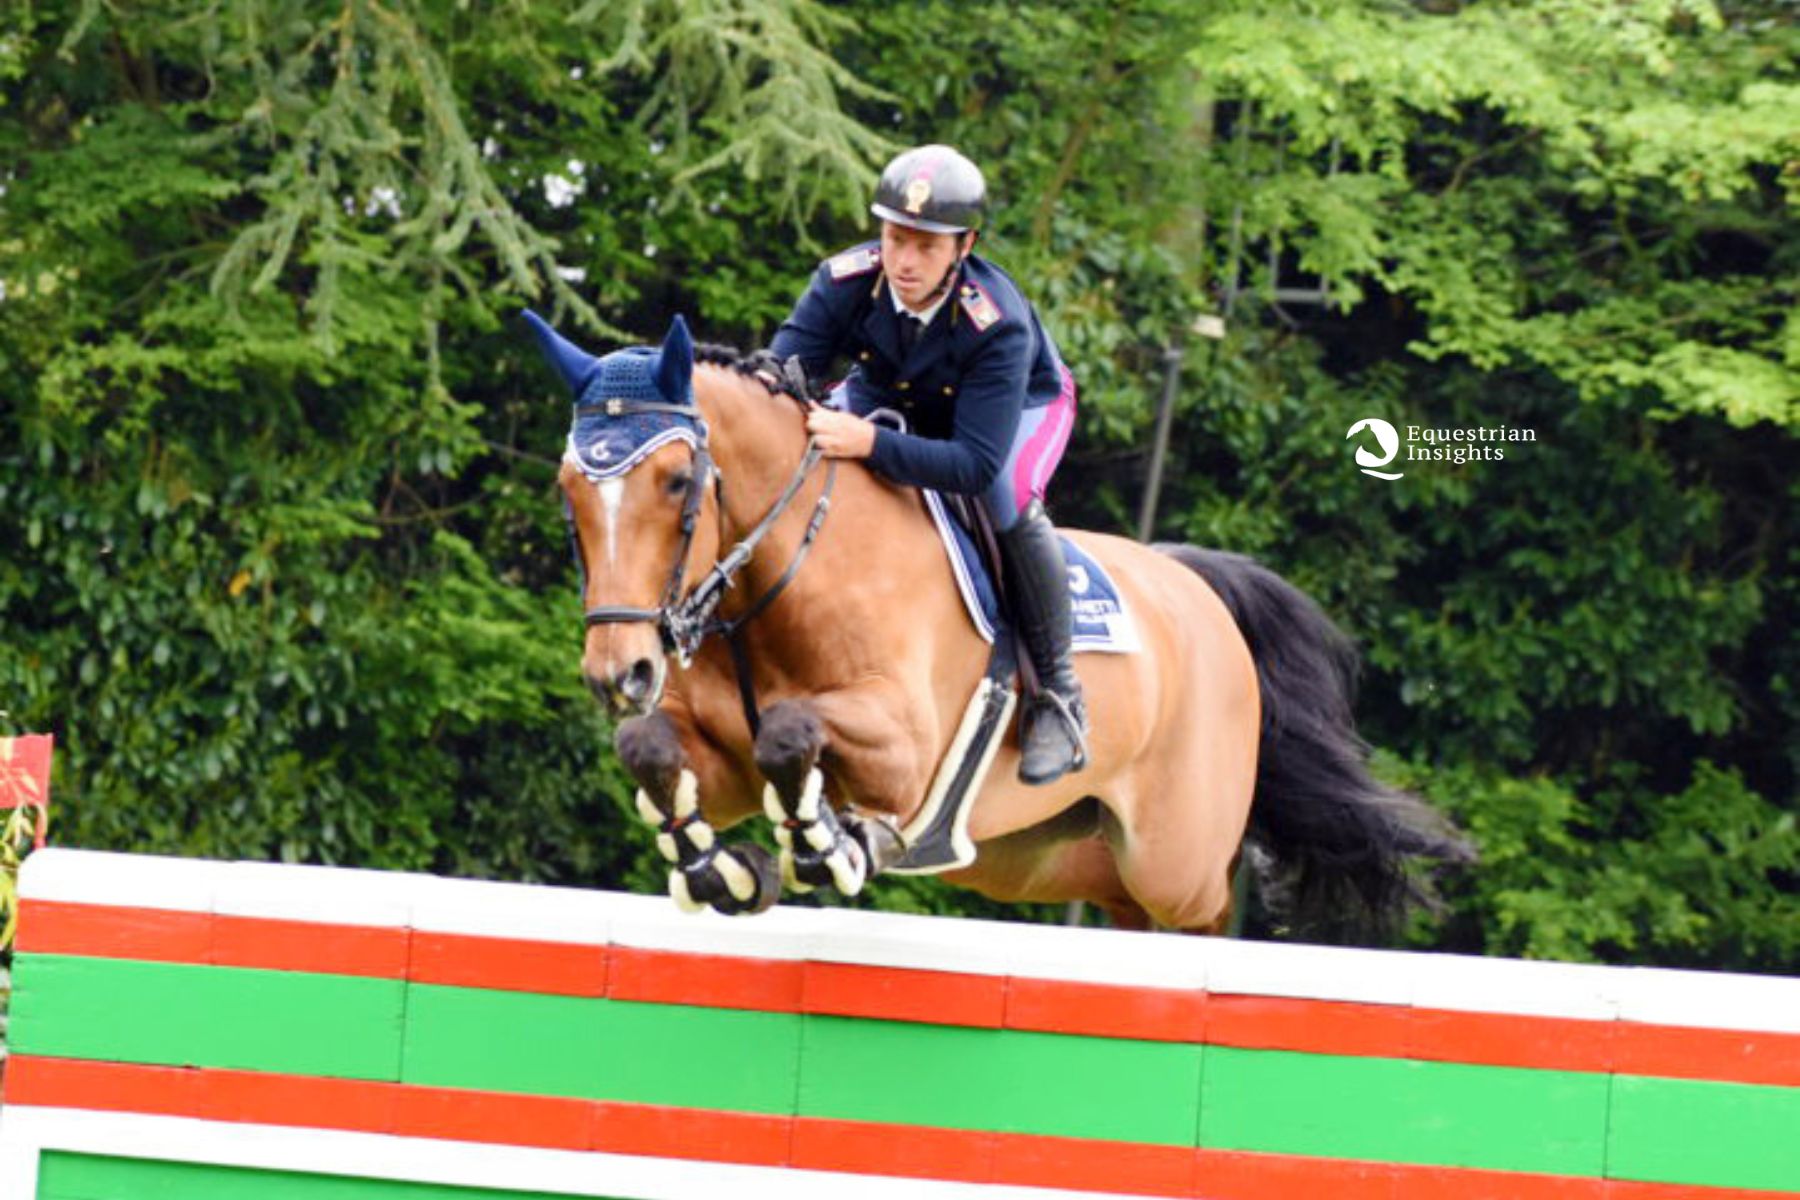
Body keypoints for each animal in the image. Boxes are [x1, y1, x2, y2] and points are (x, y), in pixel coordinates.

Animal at [530, 311, 1470, 935]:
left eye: (677, 483)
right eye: (568, 489)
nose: (620, 673)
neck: (783, 580)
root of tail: (1196, 586)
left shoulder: (904, 750)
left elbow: (791, 731)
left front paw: (834, 845)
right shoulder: (715, 761)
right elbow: (653, 750)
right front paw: (720, 869)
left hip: (1175, 864)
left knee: (1202, 907)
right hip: (1047, 857)